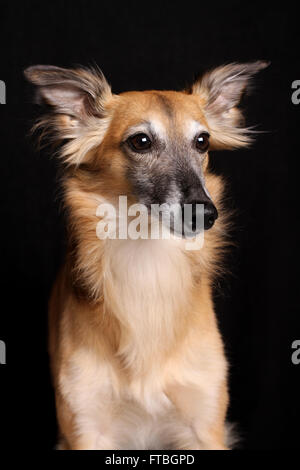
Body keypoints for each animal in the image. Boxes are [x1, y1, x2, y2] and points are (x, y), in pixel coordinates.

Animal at [24, 60, 268, 450]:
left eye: (202, 141)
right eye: (140, 141)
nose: (204, 214)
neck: (147, 263)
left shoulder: (205, 424)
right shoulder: (86, 426)